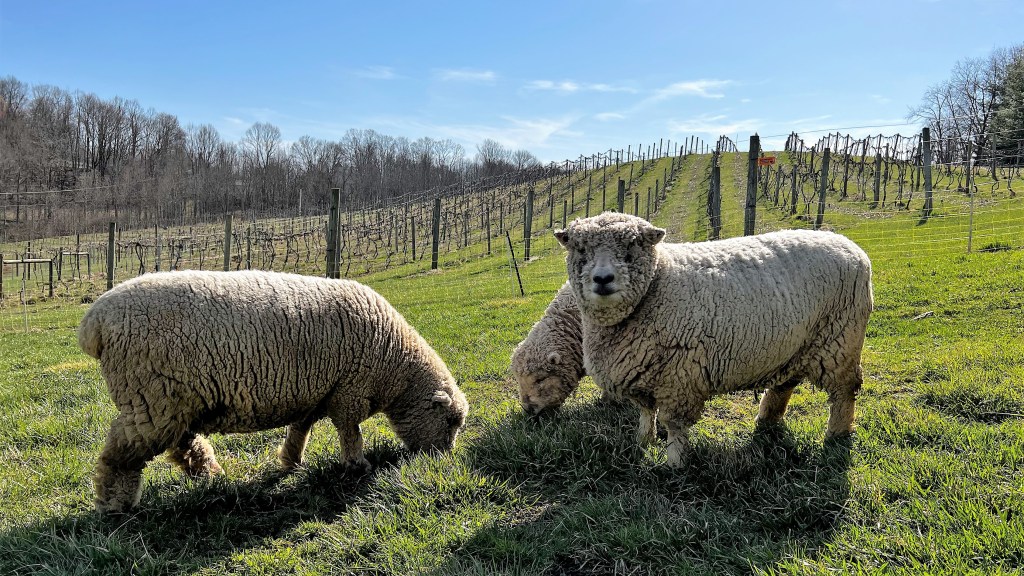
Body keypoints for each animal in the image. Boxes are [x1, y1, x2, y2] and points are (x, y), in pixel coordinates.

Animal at [78, 270, 469, 513]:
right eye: (451, 421)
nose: (444, 458)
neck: (396, 363)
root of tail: (94, 323)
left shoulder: (318, 393)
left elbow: (301, 428)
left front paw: (291, 461)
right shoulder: (349, 391)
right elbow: (350, 432)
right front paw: (357, 466)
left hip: (171, 400)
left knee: (182, 442)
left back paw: (210, 475)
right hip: (150, 397)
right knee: (120, 455)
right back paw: (114, 505)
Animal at [554, 212, 872, 467]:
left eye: (631, 247)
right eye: (580, 248)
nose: (602, 279)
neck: (656, 284)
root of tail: (851, 247)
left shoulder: (679, 378)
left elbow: (673, 424)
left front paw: (675, 463)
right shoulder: (642, 374)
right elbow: (646, 413)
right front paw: (642, 442)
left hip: (840, 338)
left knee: (845, 390)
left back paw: (837, 433)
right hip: (795, 344)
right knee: (785, 384)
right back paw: (767, 419)